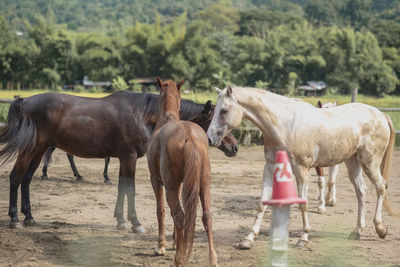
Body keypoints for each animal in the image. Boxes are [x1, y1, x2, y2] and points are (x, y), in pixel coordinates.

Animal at [0, 90, 238, 232]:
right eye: (216, 118)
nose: (234, 147)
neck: (142, 116)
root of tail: (24, 101)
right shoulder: (129, 157)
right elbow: (129, 187)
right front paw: (135, 223)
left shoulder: (124, 158)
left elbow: (121, 186)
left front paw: (121, 220)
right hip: (31, 148)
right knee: (16, 177)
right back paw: (14, 219)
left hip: (39, 150)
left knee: (27, 179)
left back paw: (29, 217)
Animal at [147, 77, 217, 267]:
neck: (167, 117)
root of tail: (189, 137)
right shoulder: (181, 184)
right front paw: (176, 242)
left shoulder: (157, 181)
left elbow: (161, 211)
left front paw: (161, 246)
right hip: (203, 184)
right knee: (206, 216)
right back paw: (213, 259)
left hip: (169, 186)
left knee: (180, 216)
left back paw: (179, 259)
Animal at [208, 87, 396, 250]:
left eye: (223, 110)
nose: (209, 138)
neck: (284, 125)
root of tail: (381, 115)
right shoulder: (270, 167)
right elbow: (262, 203)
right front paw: (248, 238)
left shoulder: (301, 170)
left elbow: (302, 204)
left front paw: (304, 238)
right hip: (353, 163)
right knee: (361, 191)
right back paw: (357, 231)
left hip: (369, 162)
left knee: (381, 187)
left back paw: (380, 228)